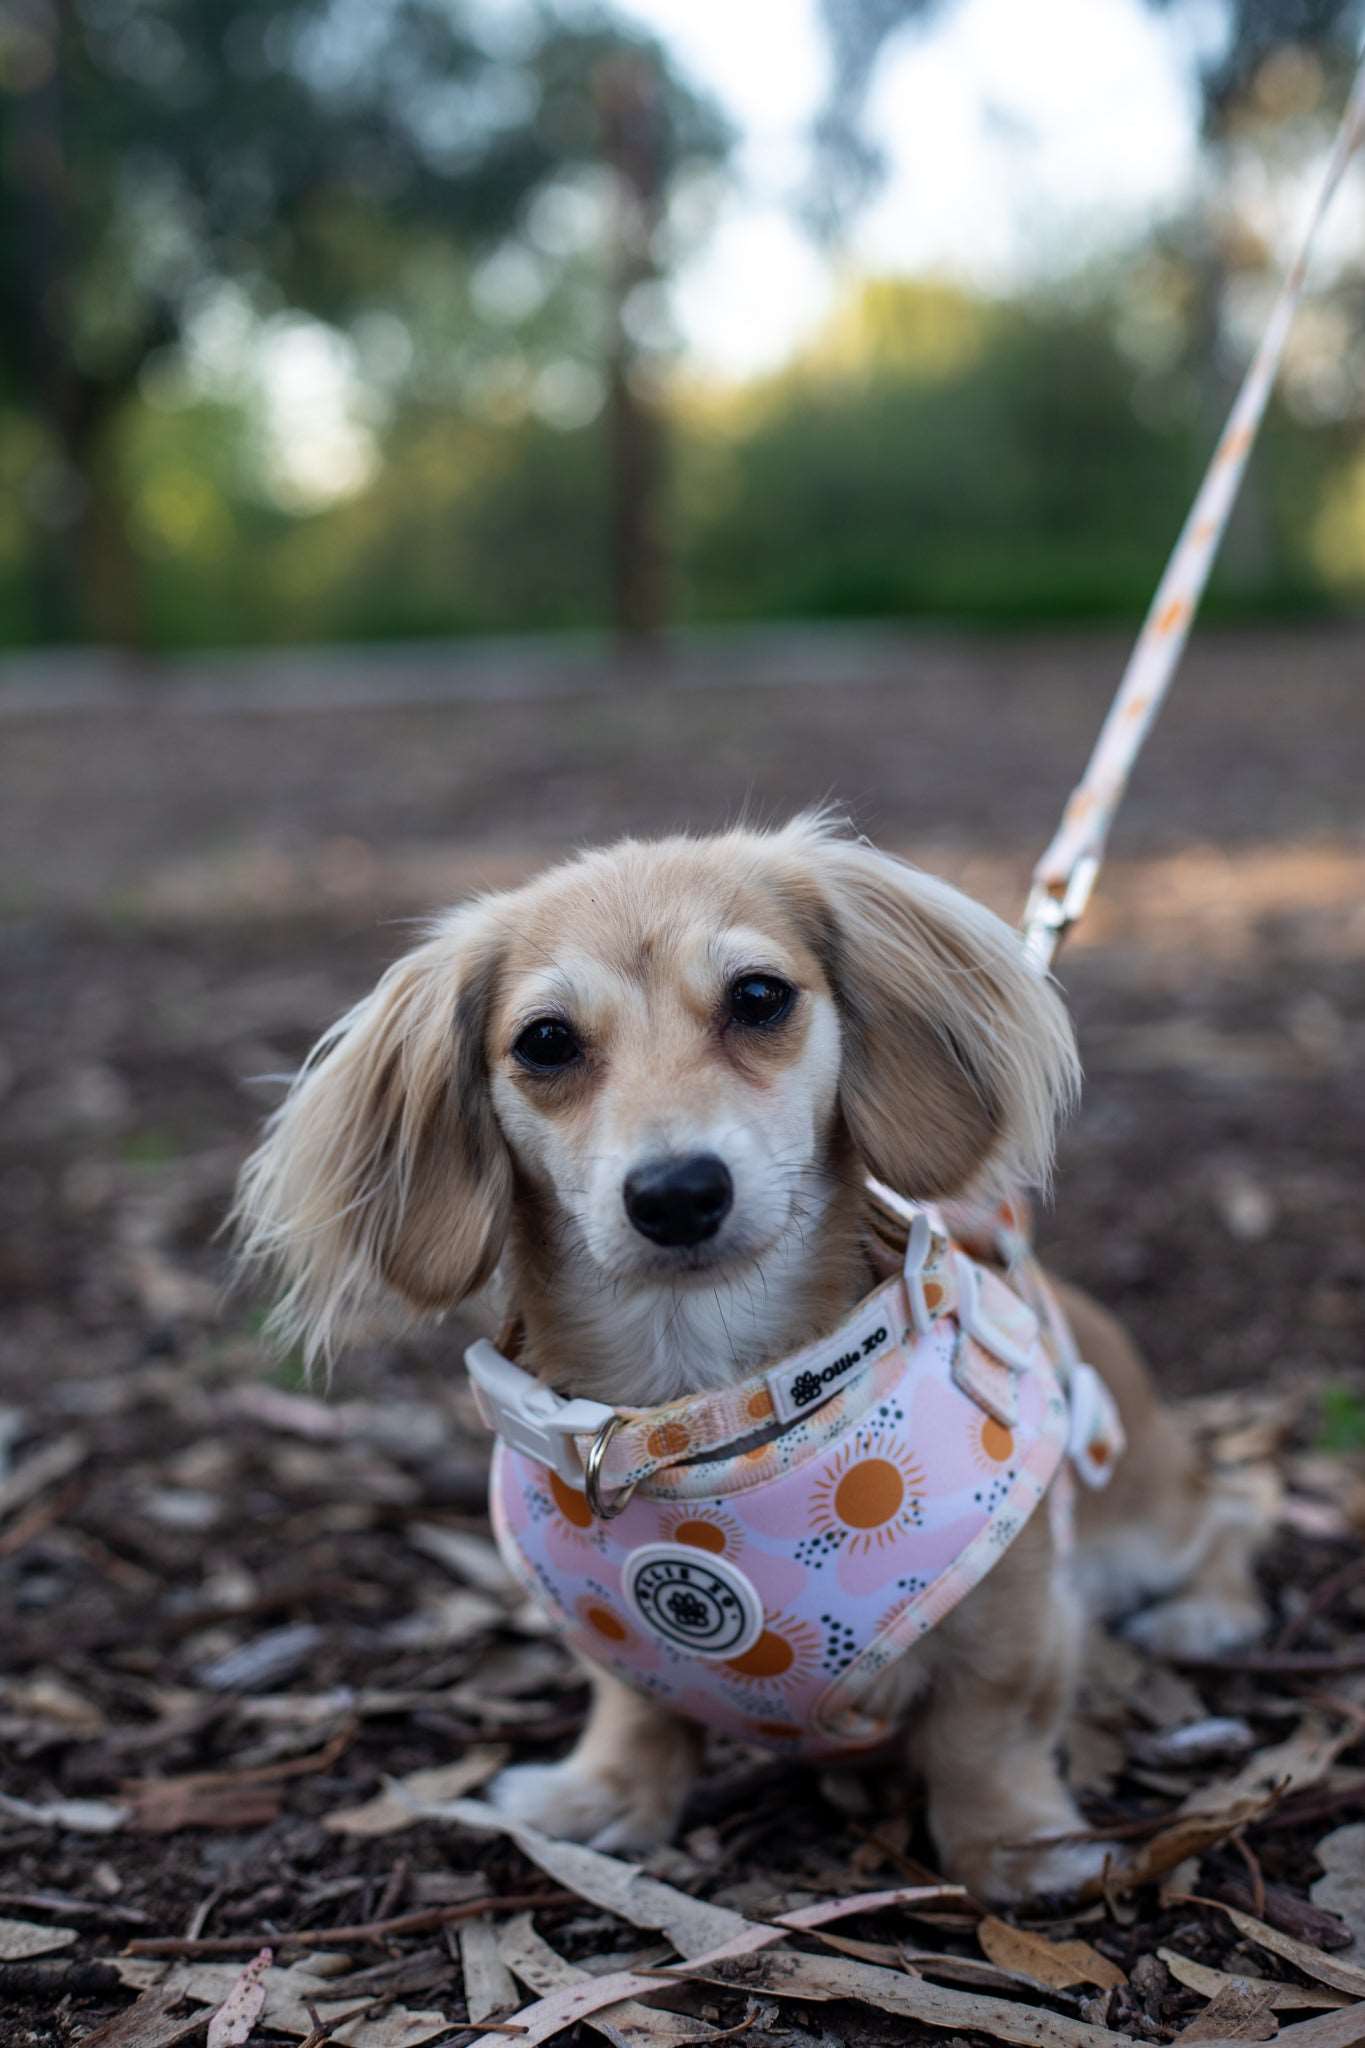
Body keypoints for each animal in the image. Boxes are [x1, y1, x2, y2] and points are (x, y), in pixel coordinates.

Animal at [237, 811, 1268, 1900]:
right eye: (545, 1041)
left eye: (760, 995)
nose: (678, 1192)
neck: (700, 1405)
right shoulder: (616, 1641)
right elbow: (637, 1707)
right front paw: (603, 1795)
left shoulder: (1016, 1617)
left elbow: (986, 1739)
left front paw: (1018, 1848)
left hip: (1146, 1515)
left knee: (1238, 1510)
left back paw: (1206, 1614)